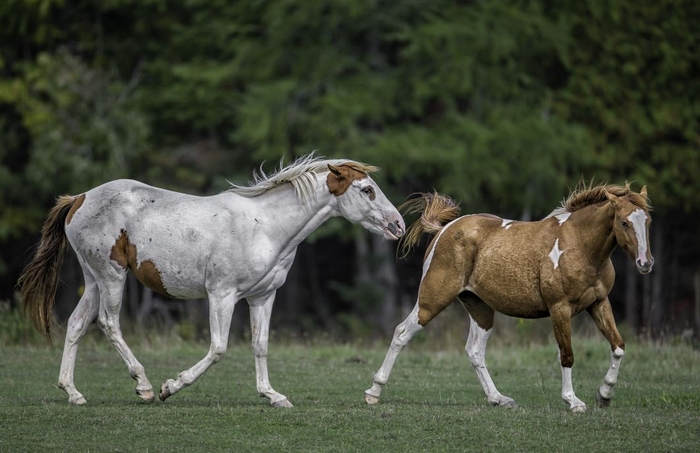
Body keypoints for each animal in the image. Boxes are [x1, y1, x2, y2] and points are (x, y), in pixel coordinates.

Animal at [20, 154, 404, 406]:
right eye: (367, 190)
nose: (398, 225)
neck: (265, 226)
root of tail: (79, 199)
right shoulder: (222, 294)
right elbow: (218, 348)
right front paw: (171, 386)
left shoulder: (263, 297)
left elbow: (260, 345)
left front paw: (272, 395)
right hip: (112, 276)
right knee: (108, 323)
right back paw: (144, 386)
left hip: (94, 279)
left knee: (76, 323)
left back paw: (73, 392)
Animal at [364, 180, 652, 410]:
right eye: (624, 222)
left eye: (647, 220)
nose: (645, 263)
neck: (579, 246)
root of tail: (444, 230)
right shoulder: (559, 308)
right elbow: (567, 354)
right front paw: (573, 401)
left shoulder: (598, 303)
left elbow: (618, 346)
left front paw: (604, 395)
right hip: (432, 299)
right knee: (402, 334)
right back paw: (373, 392)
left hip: (480, 308)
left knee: (474, 351)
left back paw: (498, 398)